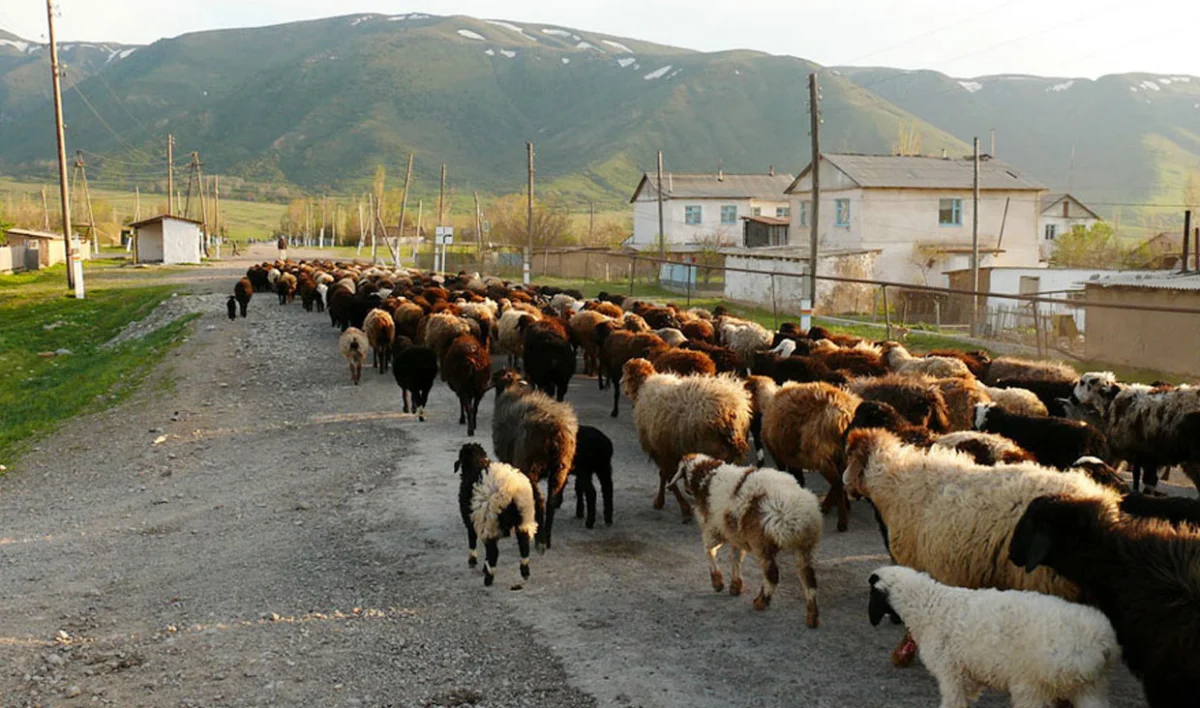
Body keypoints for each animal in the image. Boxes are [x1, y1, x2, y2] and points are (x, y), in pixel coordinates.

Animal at [676, 456, 825, 628]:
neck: (706, 477)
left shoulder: (713, 529)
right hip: (805, 546)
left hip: (762, 544)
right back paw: (812, 617)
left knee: (772, 575)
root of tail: (798, 515)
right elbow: (735, 558)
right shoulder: (735, 534)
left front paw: (718, 582)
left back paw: (761, 601)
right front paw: (735, 585)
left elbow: (710, 552)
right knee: (809, 578)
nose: (686, 489)